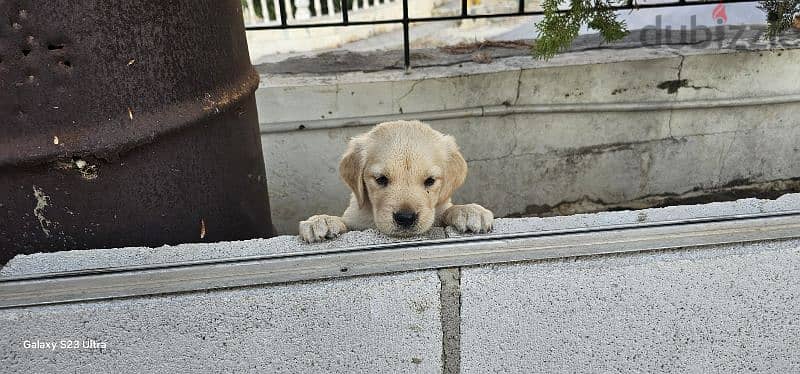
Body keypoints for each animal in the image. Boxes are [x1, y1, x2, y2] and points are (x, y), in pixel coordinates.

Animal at [296, 120, 490, 243]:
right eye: (381, 179)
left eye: (430, 181)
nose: (405, 218)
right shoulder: (356, 220)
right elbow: (345, 222)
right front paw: (321, 221)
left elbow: (446, 211)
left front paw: (469, 211)